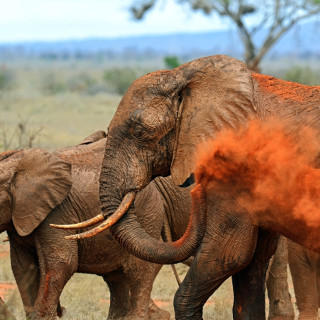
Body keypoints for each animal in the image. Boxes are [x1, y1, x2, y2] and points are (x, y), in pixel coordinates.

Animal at [0, 131, 202, 320]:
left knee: (137, 269)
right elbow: (22, 267)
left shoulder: (57, 211)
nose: (62, 310)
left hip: (147, 214)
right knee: (116, 278)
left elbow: (62, 262)